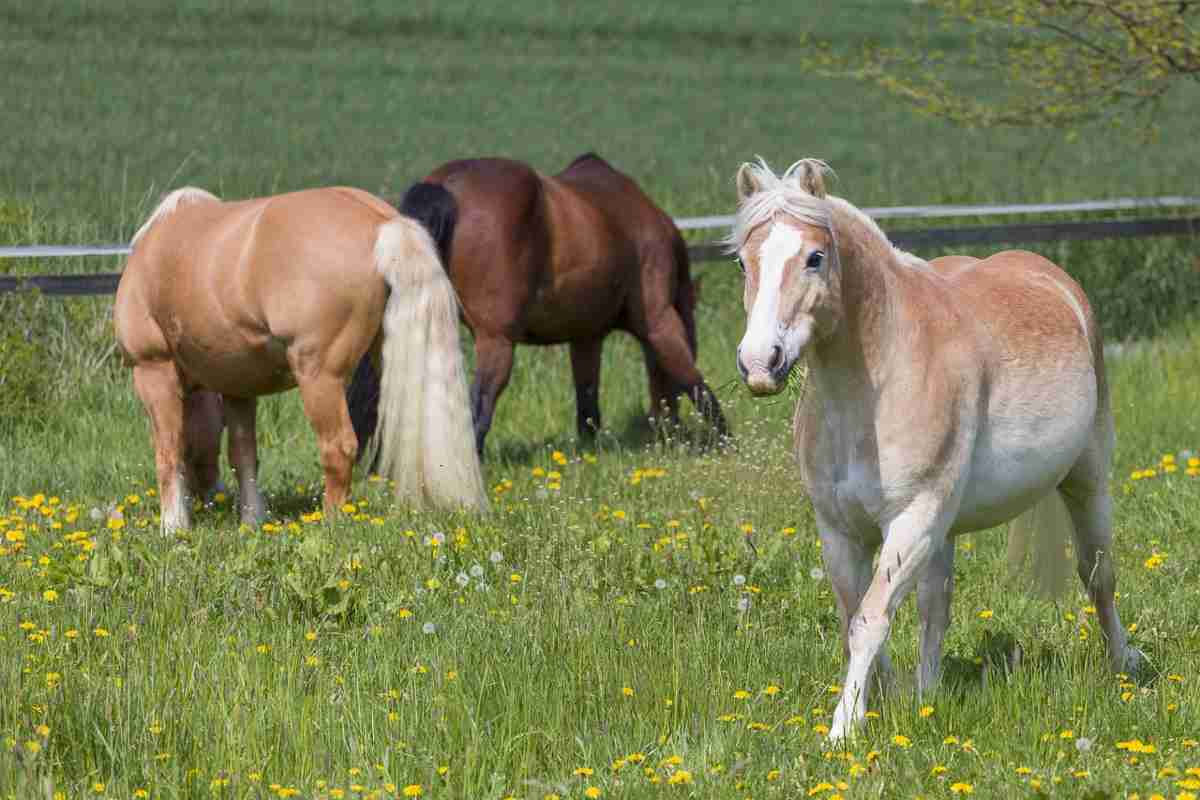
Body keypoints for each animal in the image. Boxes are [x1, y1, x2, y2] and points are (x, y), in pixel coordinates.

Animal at [113, 183, 487, 527]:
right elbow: (243, 454)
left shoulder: (153, 370)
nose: (209, 495)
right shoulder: (237, 387)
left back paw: (331, 523)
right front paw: (251, 521)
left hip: (320, 376)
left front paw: (173, 526)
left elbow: (169, 450)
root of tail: (383, 223)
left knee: (338, 447)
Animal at [343, 153, 724, 453]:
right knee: (479, 406)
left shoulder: (585, 338)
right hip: (496, 342)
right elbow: (696, 382)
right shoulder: (660, 323)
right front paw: (725, 441)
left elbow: (587, 404)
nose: (667, 428)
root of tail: (446, 185)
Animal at [724, 159, 1137, 743]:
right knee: (935, 604)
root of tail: (1056, 281)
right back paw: (927, 694)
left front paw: (843, 729)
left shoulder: (913, 518)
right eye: (744, 261)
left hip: (1087, 477)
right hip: (946, 527)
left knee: (1098, 575)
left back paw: (1125, 665)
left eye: (814, 257)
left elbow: (870, 619)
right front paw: (888, 701)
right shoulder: (840, 531)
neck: (873, 388)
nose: (761, 363)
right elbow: (858, 618)